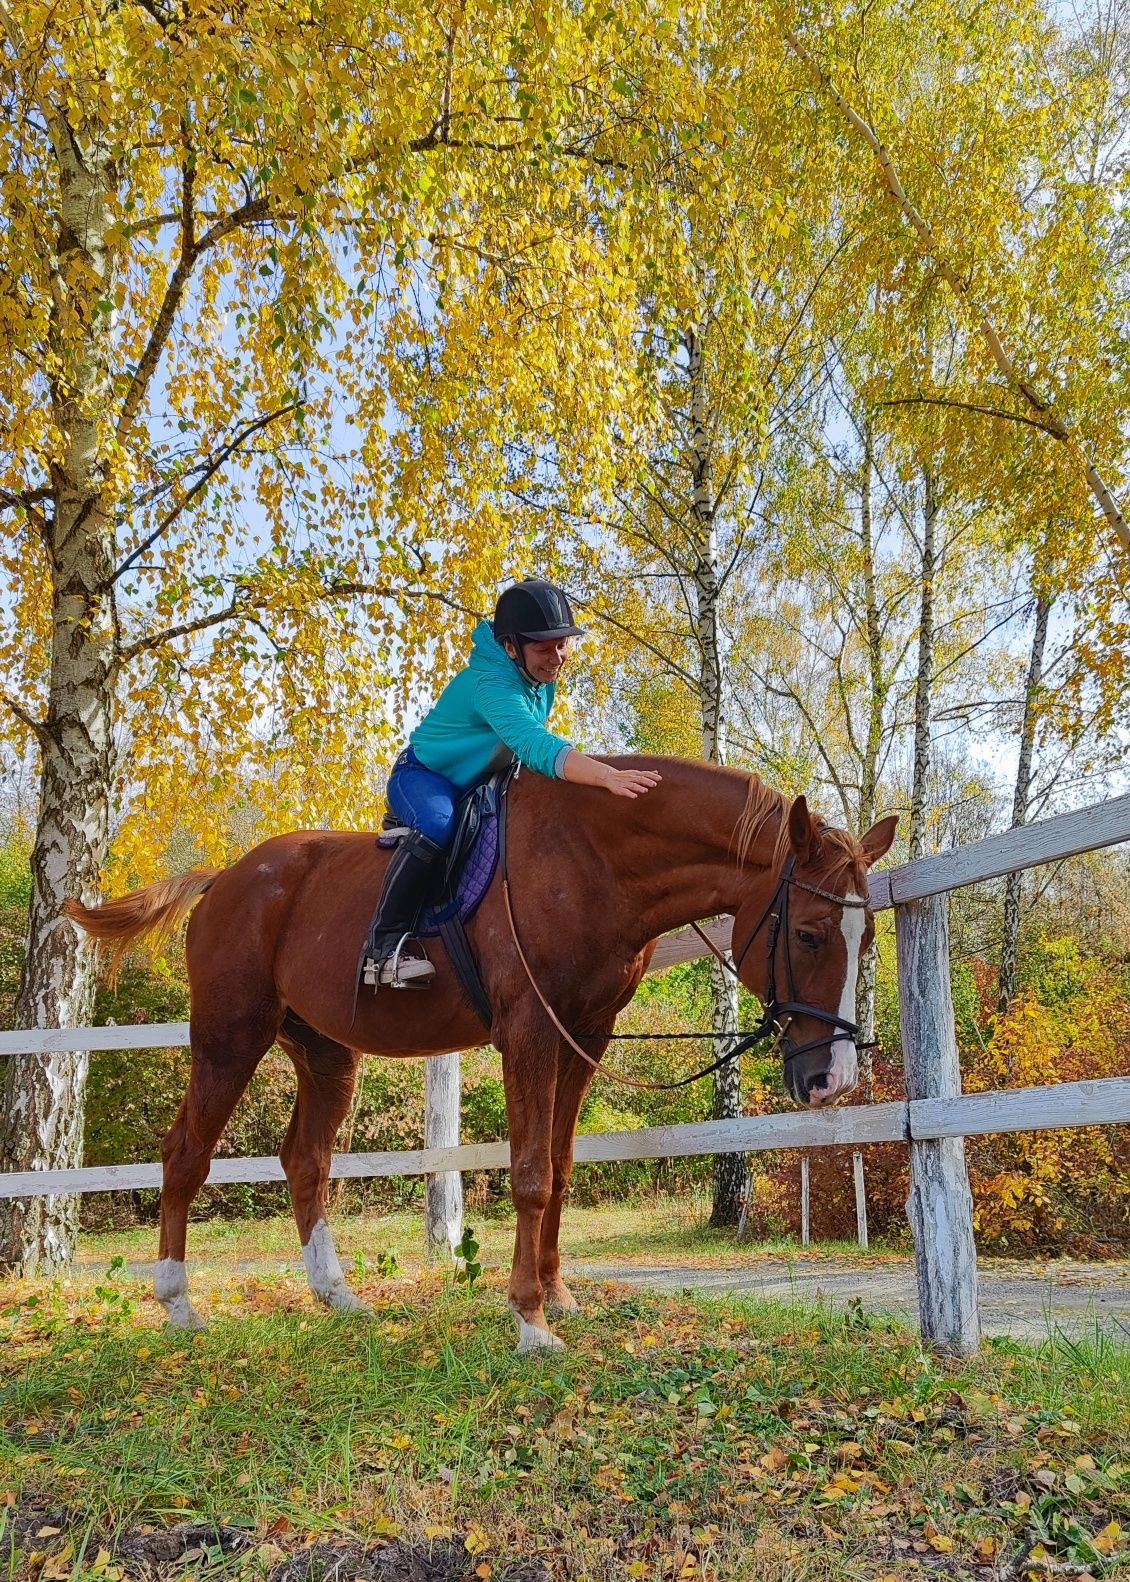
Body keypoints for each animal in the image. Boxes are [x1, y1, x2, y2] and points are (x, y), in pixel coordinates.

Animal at [66, 759, 892, 1354]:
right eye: (810, 933)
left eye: (869, 938)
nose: (833, 1080)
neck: (592, 858)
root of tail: (225, 879)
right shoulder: (529, 1032)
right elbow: (529, 1174)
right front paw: (529, 1319)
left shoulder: (583, 1037)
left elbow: (558, 1168)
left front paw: (557, 1294)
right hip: (229, 1037)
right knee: (185, 1155)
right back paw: (178, 1305)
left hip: (326, 1054)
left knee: (306, 1161)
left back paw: (336, 1295)